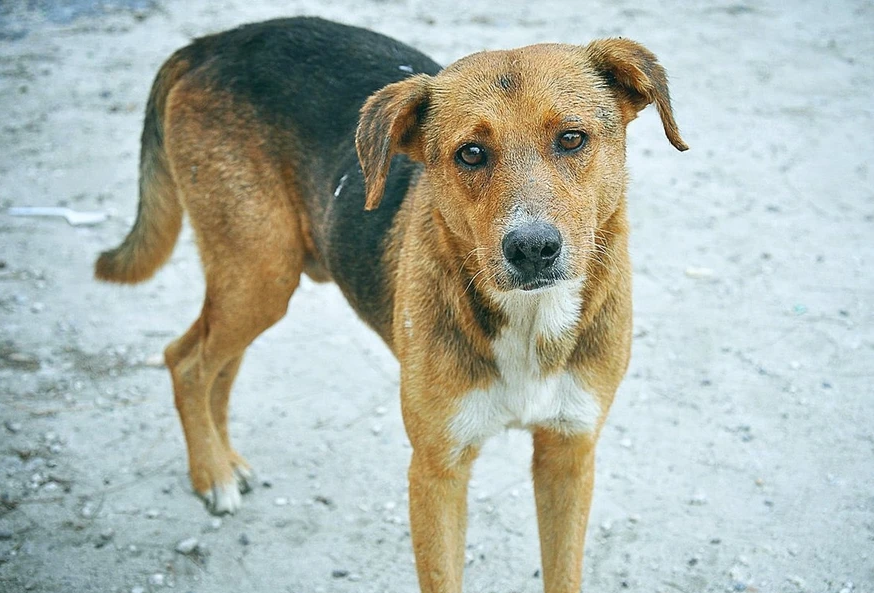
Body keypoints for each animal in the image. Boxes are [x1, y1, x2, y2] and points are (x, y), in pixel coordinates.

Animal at [93, 17, 680, 592]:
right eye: (471, 153)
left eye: (572, 138)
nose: (533, 248)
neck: (531, 319)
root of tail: (214, 42)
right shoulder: (437, 470)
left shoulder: (568, 456)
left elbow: (563, 572)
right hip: (259, 274)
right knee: (186, 361)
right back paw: (211, 473)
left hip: (255, 281)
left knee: (212, 360)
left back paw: (225, 460)